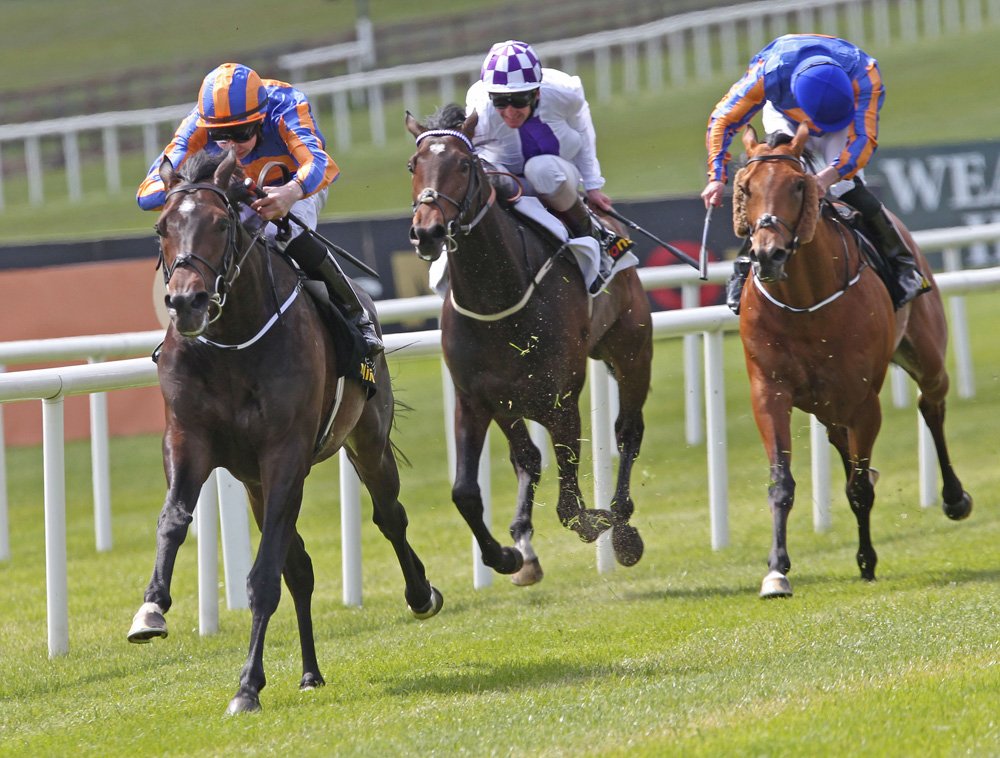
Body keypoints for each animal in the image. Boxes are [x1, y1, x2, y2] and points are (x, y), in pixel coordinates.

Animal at [126, 148, 442, 714]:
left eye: (221, 222)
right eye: (162, 227)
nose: (186, 302)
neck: (232, 342)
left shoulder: (285, 453)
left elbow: (264, 576)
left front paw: (247, 686)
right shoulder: (188, 439)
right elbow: (174, 520)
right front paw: (151, 610)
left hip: (365, 440)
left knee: (389, 515)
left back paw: (421, 595)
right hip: (255, 482)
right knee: (301, 568)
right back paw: (310, 672)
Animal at [405, 106, 652, 585]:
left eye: (464, 164)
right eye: (413, 165)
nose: (427, 232)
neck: (496, 296)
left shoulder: (560, 398)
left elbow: (570, 504)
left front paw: (604, 524)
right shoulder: (475, 398)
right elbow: (466, 491)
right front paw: (506, 555)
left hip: (631, 349)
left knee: (627, 432)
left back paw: (622, 523)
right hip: (511, 401)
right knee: (528, 458)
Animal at [733, 123, 972, 598]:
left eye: (798, 185)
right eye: (746, 187)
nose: (768, 254)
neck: (804, 302)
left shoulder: (864, 400)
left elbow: (859, 489)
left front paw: (867, 559)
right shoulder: (769, 391)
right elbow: (781, 483)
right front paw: (776, 570)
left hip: (925, 357)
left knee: (931, 406)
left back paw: (954, 498)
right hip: (825, 401)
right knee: (840, 440)